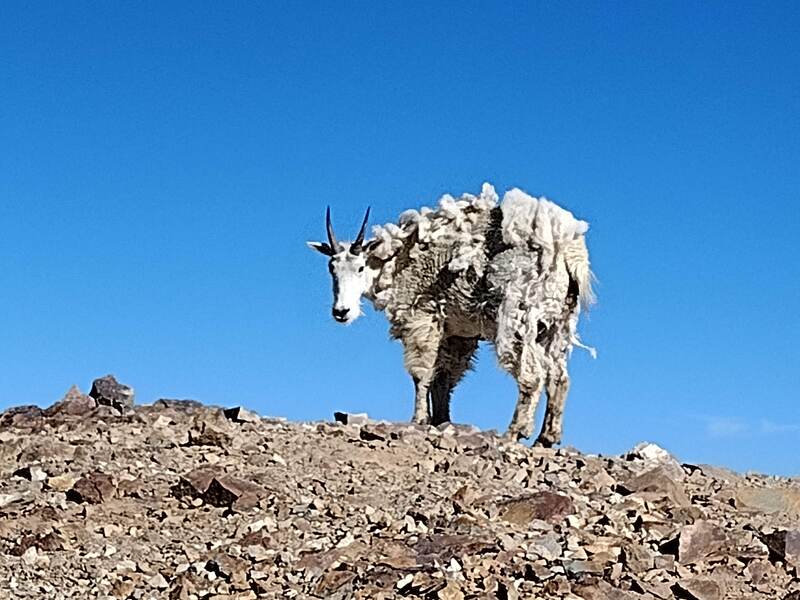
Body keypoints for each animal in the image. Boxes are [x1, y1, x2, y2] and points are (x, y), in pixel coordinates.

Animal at [306, 183, 592, 446]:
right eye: (331, 268)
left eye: (360, 267)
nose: (341, 312)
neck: (395, 261)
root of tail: (568, 253)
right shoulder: (458, 332)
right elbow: (444, 377)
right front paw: (441, 420)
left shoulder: (421, 318)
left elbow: (421, 373)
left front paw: (419, 419)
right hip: (556, 324)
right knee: (559, 377)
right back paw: (546, 437)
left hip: (518, 319)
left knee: (532, 376)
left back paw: (513, 433)